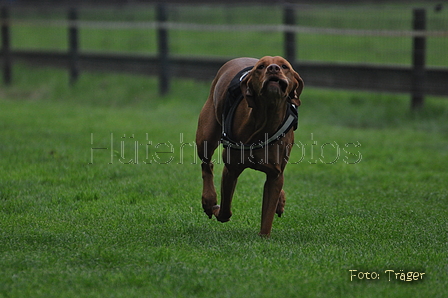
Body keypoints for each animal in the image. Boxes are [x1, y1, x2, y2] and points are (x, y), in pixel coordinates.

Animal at [194, 56, 302, 236]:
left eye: (284, 66)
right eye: (261, 67)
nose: (273, 68)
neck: (265, 122)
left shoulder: (274, 176)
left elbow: (267, 215)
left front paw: (264, 237)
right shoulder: (231, 169)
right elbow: (224, 211)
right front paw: (215, 208)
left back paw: (280, 200)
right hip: (205, 136)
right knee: (206, 164)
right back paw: (209, 200)